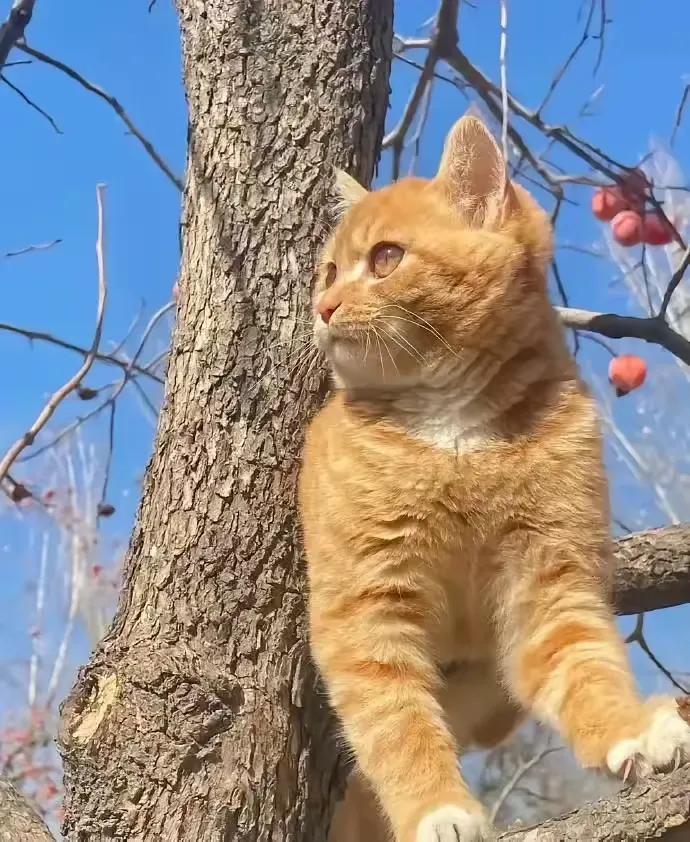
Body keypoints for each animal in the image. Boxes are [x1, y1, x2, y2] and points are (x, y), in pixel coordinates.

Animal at [296, 116, 688, 840]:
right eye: (330, 270)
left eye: (385, 258)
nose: (324, 304)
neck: (455, 435)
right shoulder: (366, 613)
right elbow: (398, 728)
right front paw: (438, 810)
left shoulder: (548, 584)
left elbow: (586, 670)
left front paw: (632, 731)